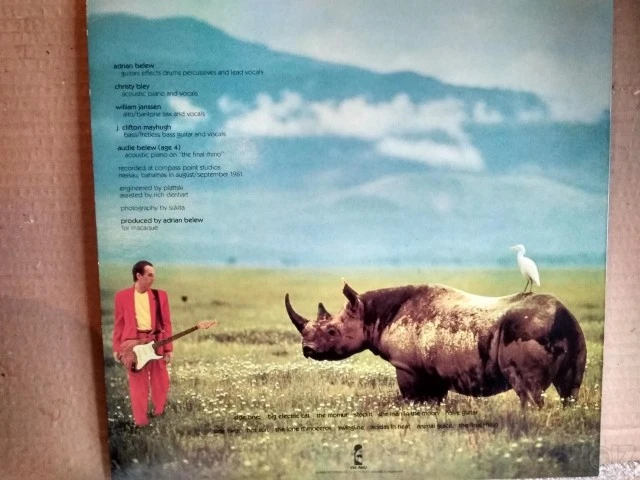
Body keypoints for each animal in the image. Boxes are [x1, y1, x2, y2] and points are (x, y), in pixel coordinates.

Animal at [285, 282, 586, 407]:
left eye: (332, 331)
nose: (307, 349)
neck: (372, 314)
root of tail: (560, 315)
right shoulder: (433, 369)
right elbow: (436, 400)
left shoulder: (407, 366)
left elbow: (413, 399)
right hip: (573, 333)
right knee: (569, 391)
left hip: (526, 328)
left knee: (529, 391)